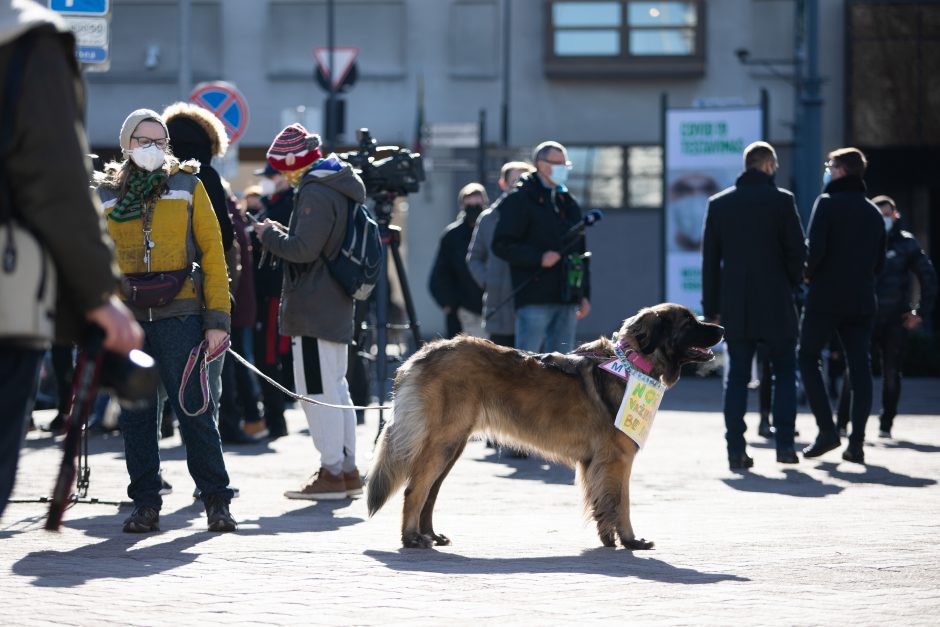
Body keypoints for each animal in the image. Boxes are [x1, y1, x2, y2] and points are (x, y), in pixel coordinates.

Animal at [366, 304, 720, 548]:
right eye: (689, 323)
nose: (722, 328)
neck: (632, 364)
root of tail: (420, 355)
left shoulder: (598, 463)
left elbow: (603, 503)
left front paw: (609, 540)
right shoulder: (619, 458)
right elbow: (622, 502)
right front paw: (631, 541)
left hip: (452, 446)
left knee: (430, 492)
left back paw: (430, 535)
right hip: (443, 443)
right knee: (415, 488)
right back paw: (411, 538)